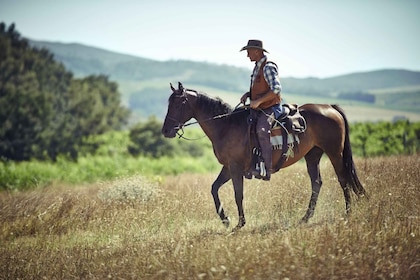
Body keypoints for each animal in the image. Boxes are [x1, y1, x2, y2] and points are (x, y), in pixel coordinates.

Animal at [162, 81, 366, 230]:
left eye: (178, 103)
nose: (165, 131)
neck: (226, 126)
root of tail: (330, 107)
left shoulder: (235, 168)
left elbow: (238, 194)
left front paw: (239, 224)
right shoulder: (228, 167)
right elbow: (214, 189)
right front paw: (226, 220)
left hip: (334, 152)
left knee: (343, 179)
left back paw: (347, 213)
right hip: (313, 156)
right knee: (317, 183)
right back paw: (305, 218)